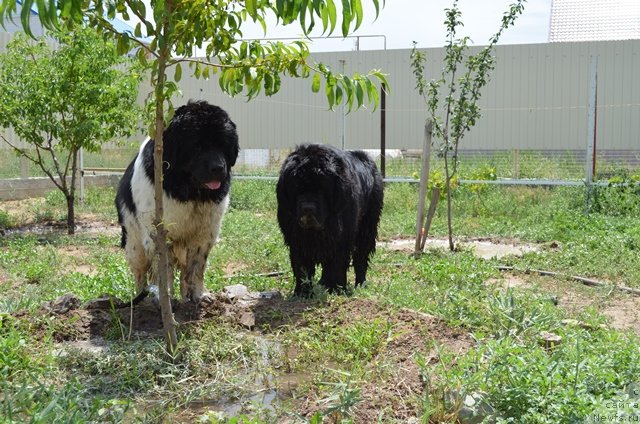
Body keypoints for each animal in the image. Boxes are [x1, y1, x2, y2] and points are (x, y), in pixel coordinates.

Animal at [114, 100, 238, 302]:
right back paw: (141, 297)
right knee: (140, 274)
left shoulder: (204, 235)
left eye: (223, 145)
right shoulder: (158, 234)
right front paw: (165, 298)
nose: (219, 168)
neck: (190, 193)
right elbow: (164, 270)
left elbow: (195, 268)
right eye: (197, 146)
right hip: (134, 243)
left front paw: (197, 297)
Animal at [276, 142, 384, 294]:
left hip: (367, 226)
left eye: (322, 188)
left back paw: (360, 283)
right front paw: (302, 292)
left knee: (361, 256)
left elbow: (338, 263)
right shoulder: (296, 237)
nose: (308, 207)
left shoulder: (342, 237)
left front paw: (337, 289)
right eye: (296, 187)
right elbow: (302, 266)